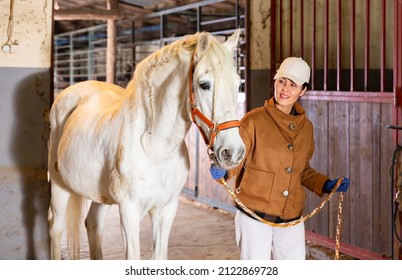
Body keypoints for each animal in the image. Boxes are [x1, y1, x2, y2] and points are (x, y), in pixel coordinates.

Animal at [48, 29, 247, 260]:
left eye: (238, 85)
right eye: (204, 84)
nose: (233, 151)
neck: (155, 148)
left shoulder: (166, 210)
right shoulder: (129, 211)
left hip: (100, 196)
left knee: (93, 225)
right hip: (59, 186)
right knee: (56, 228)